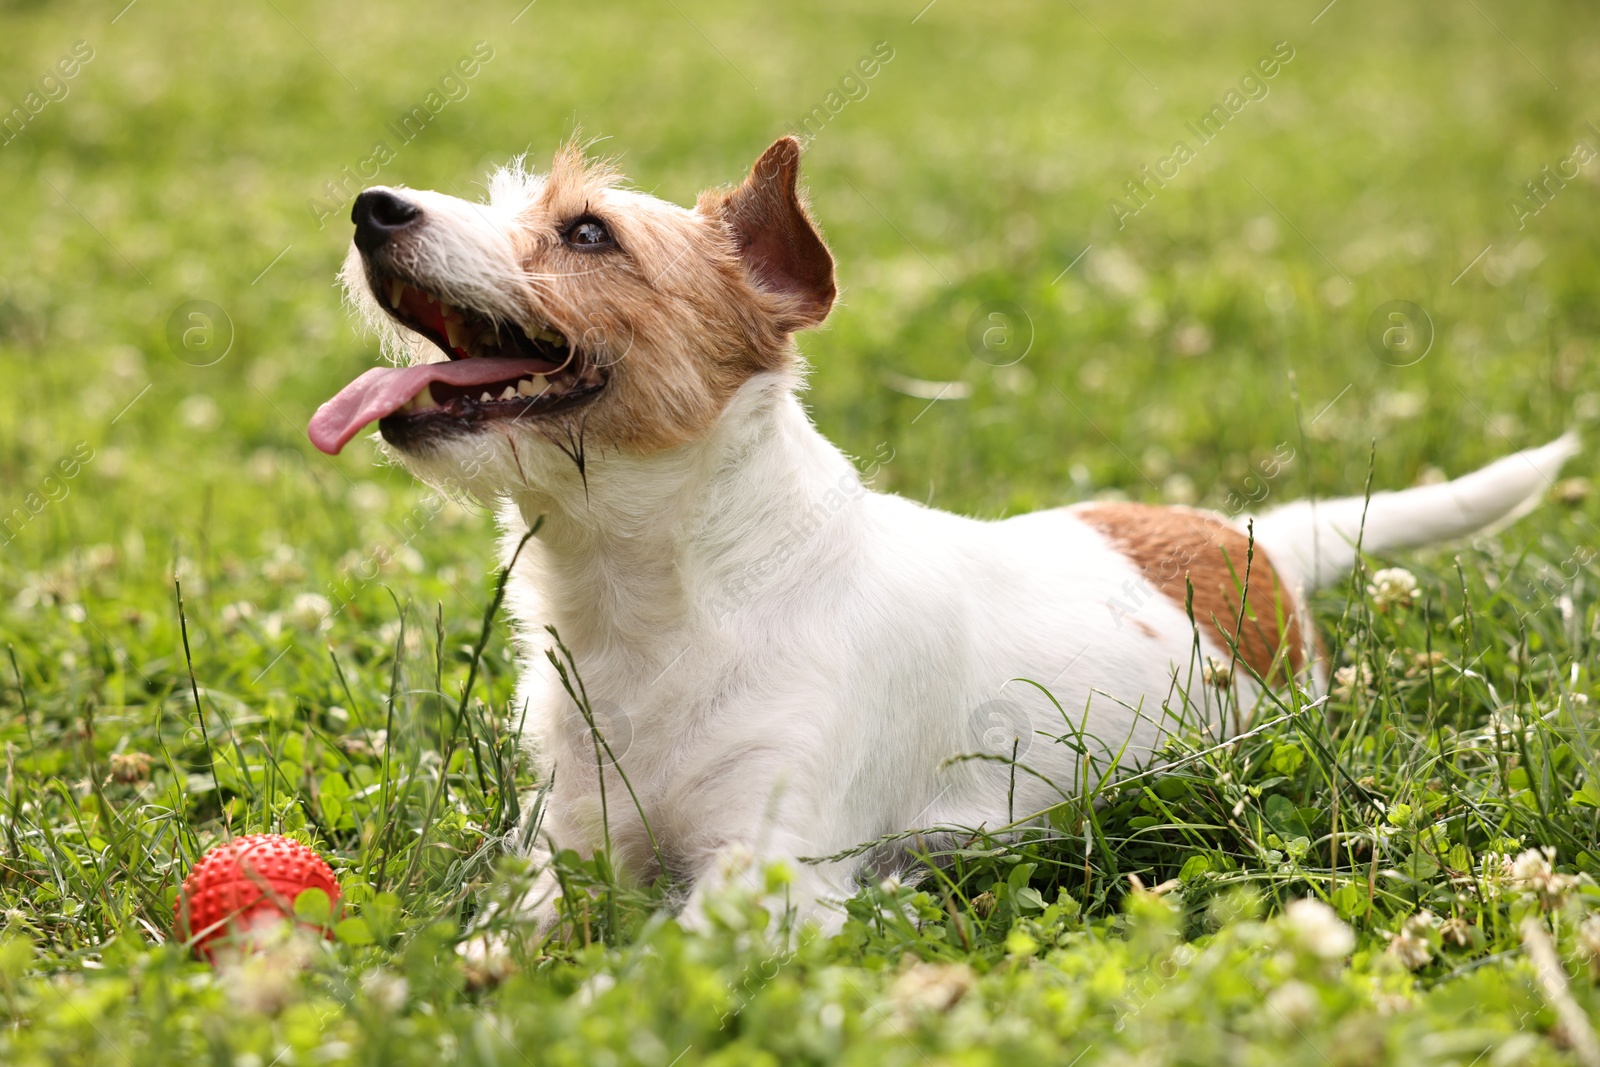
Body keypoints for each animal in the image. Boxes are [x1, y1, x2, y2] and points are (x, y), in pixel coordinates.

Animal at [305, 135, 1580, 934]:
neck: (666, 601)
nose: (370, 207)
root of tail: (1245, 537)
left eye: (584, 232)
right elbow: (512, 931)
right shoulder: (570, 847)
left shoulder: (771, 873)